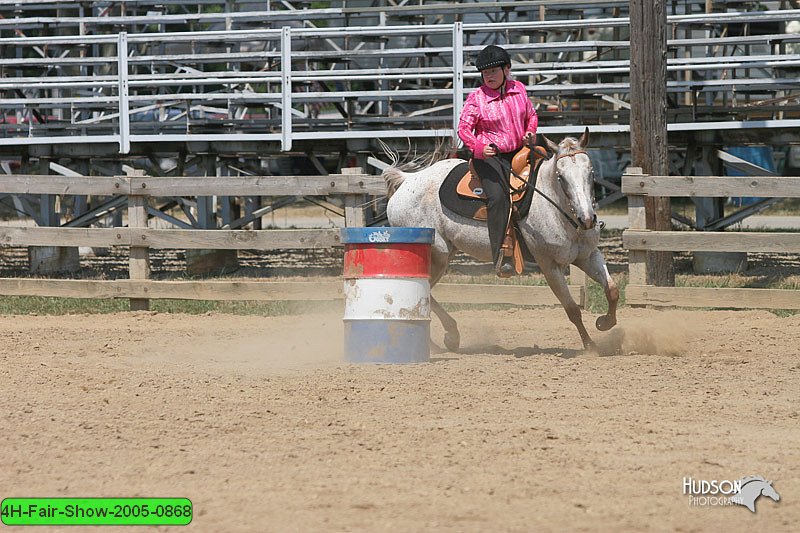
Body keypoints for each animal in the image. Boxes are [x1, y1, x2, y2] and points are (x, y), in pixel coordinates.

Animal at [382, 129, 620, 352]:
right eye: (561, 176)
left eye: (591, 172)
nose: (587, 219)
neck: (556, 208)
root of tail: (407, 181)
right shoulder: (549, 265)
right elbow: (572, 309)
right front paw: (590, 346)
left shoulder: (588, 256)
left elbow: (612, 289)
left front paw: (604, 322)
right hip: (437, 256)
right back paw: (443, 338)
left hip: (445, 254)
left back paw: (445, 338)